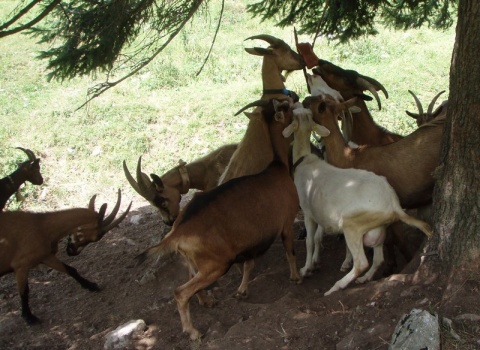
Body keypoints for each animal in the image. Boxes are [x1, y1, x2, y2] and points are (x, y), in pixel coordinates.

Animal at [0, 190, 131, 324]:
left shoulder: (46, 256)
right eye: (95, 237)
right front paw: (29, 318)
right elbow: (24, 291)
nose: (72, 252)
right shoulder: (21, 265)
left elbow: (70, 270)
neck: (41, 226)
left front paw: (91, 286)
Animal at [135, 98, 300, 342]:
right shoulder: (286, 222)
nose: (296, 98)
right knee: (180, 292)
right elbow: (290, 251)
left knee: (190, 281)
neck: (276, 167)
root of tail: (177, 232)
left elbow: (249, 264)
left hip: (194, 261)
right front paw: (296, 277)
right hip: (216, 264)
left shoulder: (249, 242)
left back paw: (207, 301)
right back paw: (193, 331)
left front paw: (242, 291)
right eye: (285, 106)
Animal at [284, 106, 436, 296]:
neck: (305, 161)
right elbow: (318, 238)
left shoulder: (308, 212)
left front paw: (306, 269)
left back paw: (336, 286)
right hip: (379, 228)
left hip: (353, 225)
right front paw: (313, 265)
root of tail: (393, 205)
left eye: (294, 117)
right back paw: (364, 279)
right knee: (378, 258)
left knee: (362, 262)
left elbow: (310, 241)